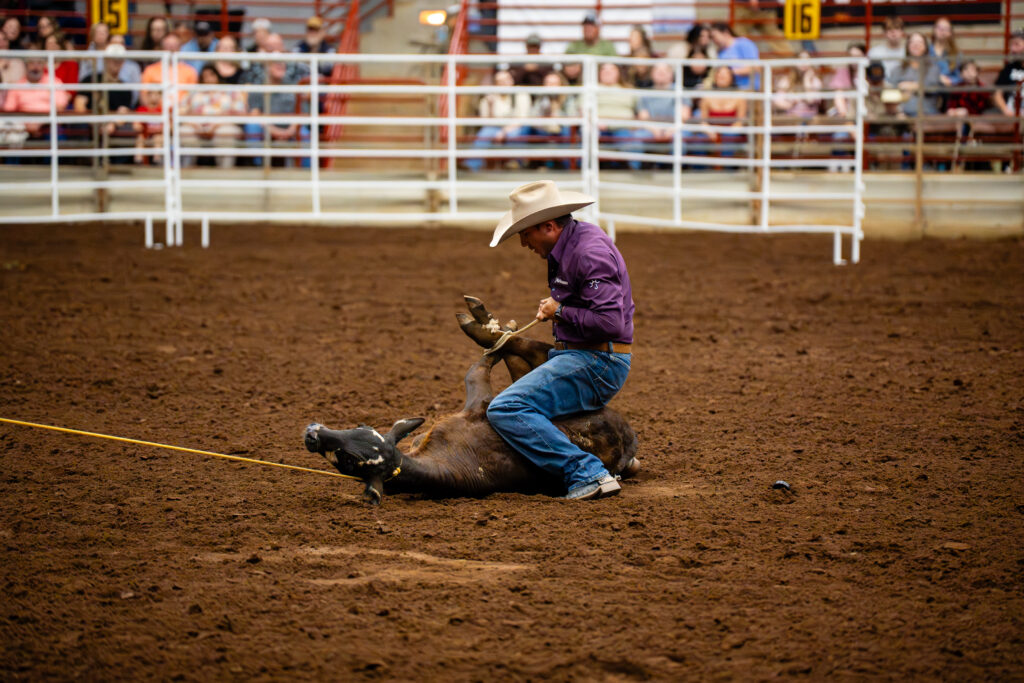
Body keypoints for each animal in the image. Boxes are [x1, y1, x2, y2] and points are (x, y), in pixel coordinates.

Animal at [303, 297, 640, 505]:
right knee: (515, 347)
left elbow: (477, 368)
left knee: (517, 343)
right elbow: (483, 363)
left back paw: (485, 322)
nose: (313, 432)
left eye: (349, 458)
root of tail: (630, 443)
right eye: (358, 428)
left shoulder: (481, 400)